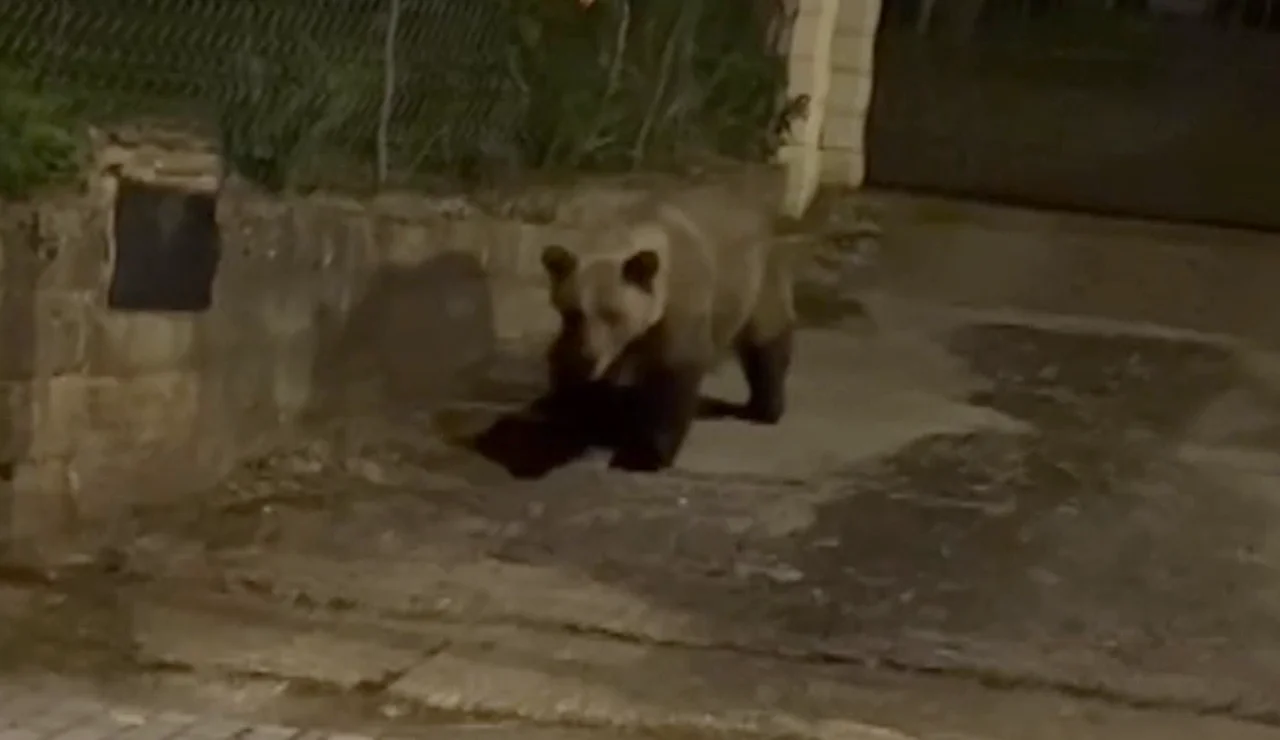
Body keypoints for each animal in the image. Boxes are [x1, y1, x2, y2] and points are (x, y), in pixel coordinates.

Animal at [538, 172, 796, 472]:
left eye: (613, 314)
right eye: (572, 312)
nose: (587, 357)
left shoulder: (679, 306)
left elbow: (673, 376)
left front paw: (643, 454)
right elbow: (571, 372)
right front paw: (577, 416)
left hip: (756, 280)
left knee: (766, 340)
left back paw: (765, 407)